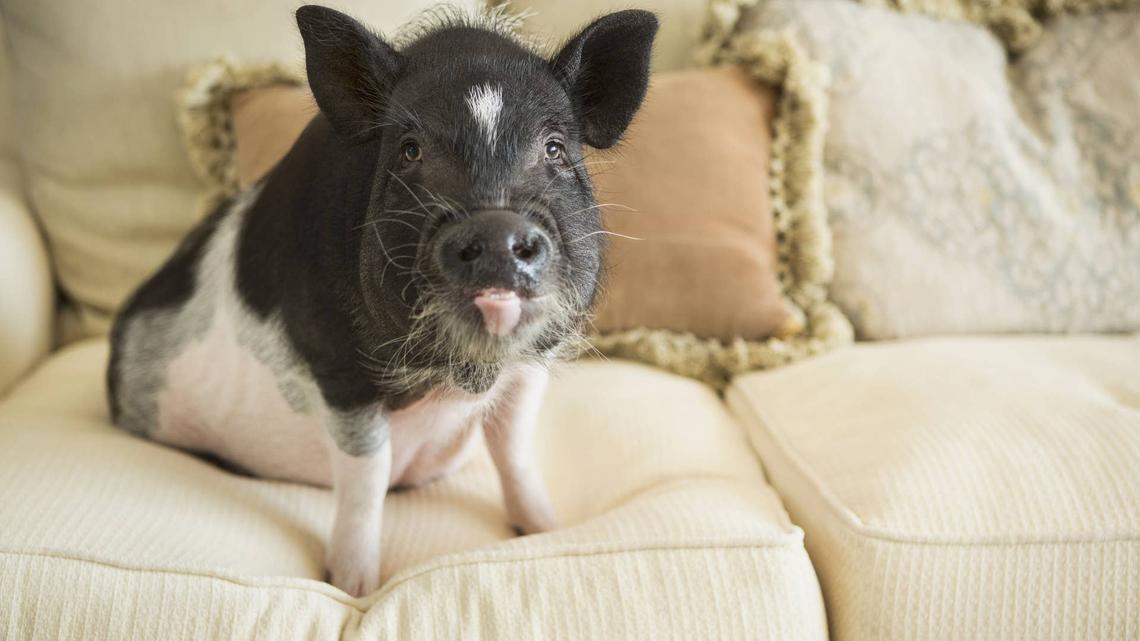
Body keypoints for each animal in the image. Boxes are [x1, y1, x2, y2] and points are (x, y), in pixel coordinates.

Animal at [106, 5, 657, 596]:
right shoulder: (337, 367)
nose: (496, 227)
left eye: (554, 148)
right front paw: (353, 587)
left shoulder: (533, 362)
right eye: (409, 150)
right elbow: (367, 474)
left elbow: (514, 450)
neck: (457, 378)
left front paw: (550, 529)